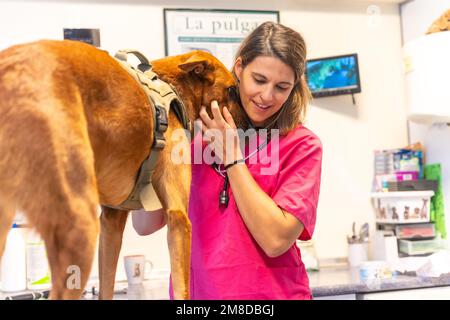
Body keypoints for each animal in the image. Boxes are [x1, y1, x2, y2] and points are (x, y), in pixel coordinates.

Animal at [0, 40, 241, 300]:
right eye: (231, 90)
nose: (248, 123)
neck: (171, 86)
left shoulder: (111, 220)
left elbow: (107, 285)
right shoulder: (178, 218)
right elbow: (182, 289)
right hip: (78, 228)